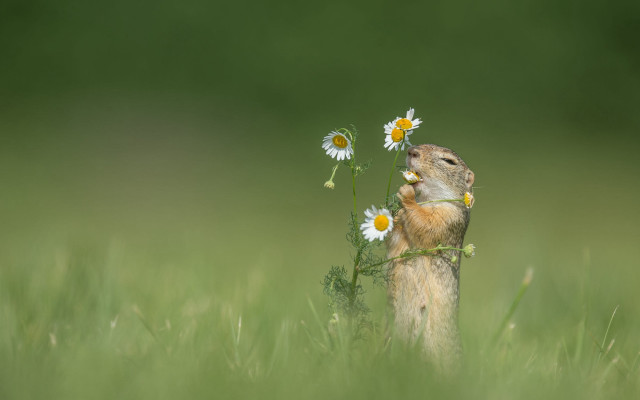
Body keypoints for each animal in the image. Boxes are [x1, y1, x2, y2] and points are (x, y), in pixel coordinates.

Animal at [387, 144, 475, 372]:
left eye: (449, 161)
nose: (411, 151)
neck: (426, 200)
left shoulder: (449, 217)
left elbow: (425, 224)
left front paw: (406, 193)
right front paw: (393, 215)